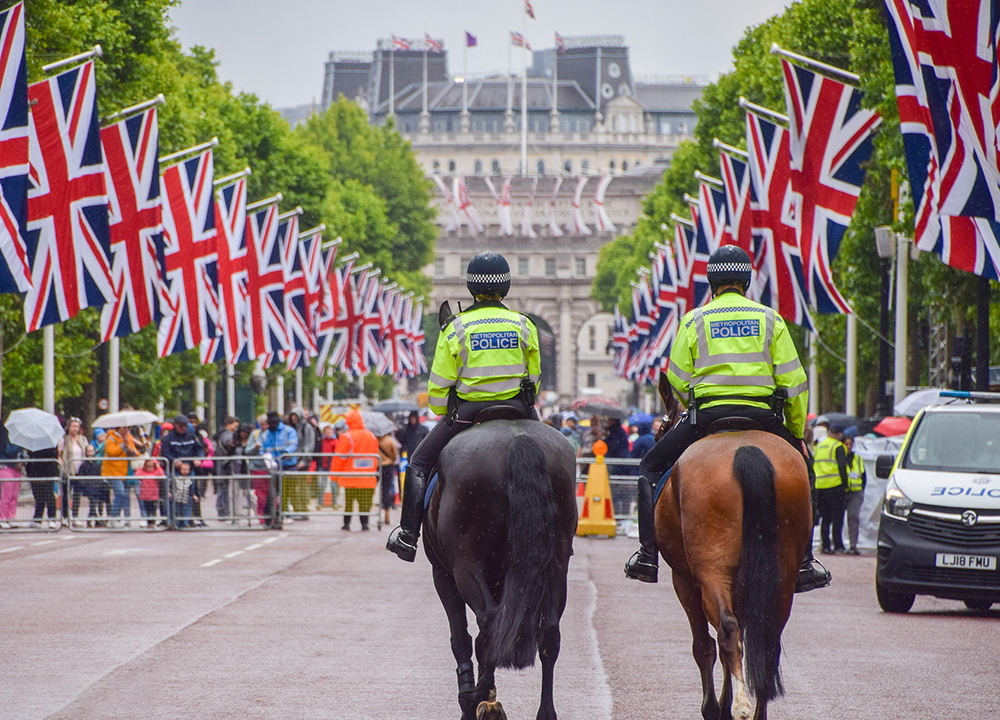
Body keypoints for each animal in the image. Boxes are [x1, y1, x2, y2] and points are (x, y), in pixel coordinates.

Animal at [422, 420, 580, 720]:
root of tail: (519, 437)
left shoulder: (443, 574)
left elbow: (460, 636)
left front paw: (470, 698)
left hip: (465, 565)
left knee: (488, 620)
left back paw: (482, 698)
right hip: (556, 566)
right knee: (548, 632)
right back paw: (544, 711)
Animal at [656, 376, 812, 720]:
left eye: (661, 427)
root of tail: (744, 448)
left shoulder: (684, 580)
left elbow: (705, 644)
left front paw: (715, 707)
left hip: (710, 568)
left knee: (726, 630)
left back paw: (739, 705)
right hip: (781, 572)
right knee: (766, 640)